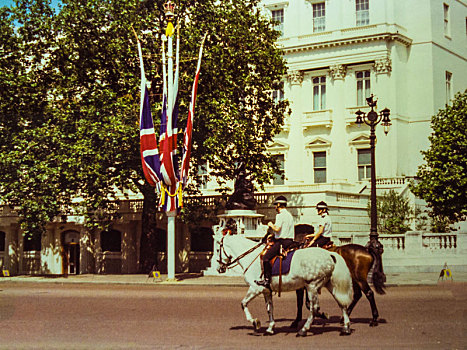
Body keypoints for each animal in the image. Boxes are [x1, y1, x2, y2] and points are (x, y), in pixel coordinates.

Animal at [218, 234, 352, 338]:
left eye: (218, 248)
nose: (219, 268)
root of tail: (330, 254)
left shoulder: (255, 288)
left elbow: (243, 303)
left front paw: (255, 322)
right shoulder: (266, 291)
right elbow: (269, 309)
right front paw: (270, 328)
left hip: (312, 286)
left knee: (314, 308)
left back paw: (303, 330)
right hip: (330, 285)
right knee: (342, 304)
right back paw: (346, 327)